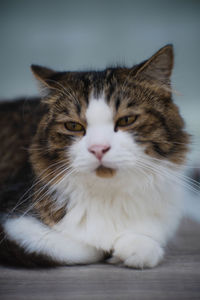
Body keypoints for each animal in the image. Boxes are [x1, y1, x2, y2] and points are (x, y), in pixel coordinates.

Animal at [0, 44, 189, 268]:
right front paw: (113, 249)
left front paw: (135, 247)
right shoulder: (12, 223)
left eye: (126, 120)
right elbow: (87, 248)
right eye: (73, 126)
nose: (99, 148)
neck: (109, 195)